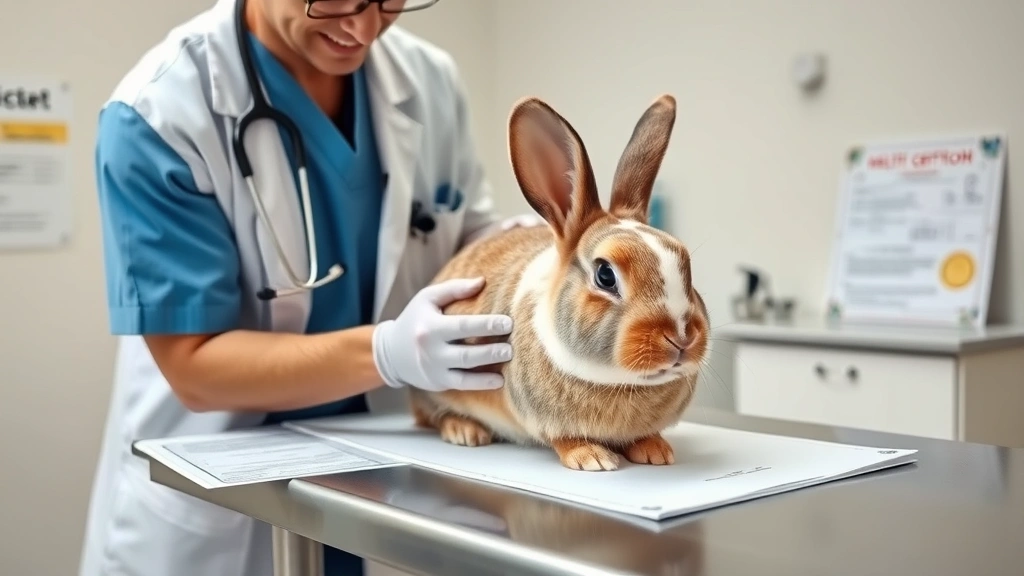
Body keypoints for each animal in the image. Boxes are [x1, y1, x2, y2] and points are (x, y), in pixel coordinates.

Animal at [407, 93, 710, 472]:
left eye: (686, 265)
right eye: (605, 275)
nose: (682, 336)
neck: (623, 382)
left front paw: (656, 451)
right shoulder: (546, 420)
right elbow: (565, 439)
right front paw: (593, 458)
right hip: (432, 385)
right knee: (431, 416)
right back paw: (465, 431)